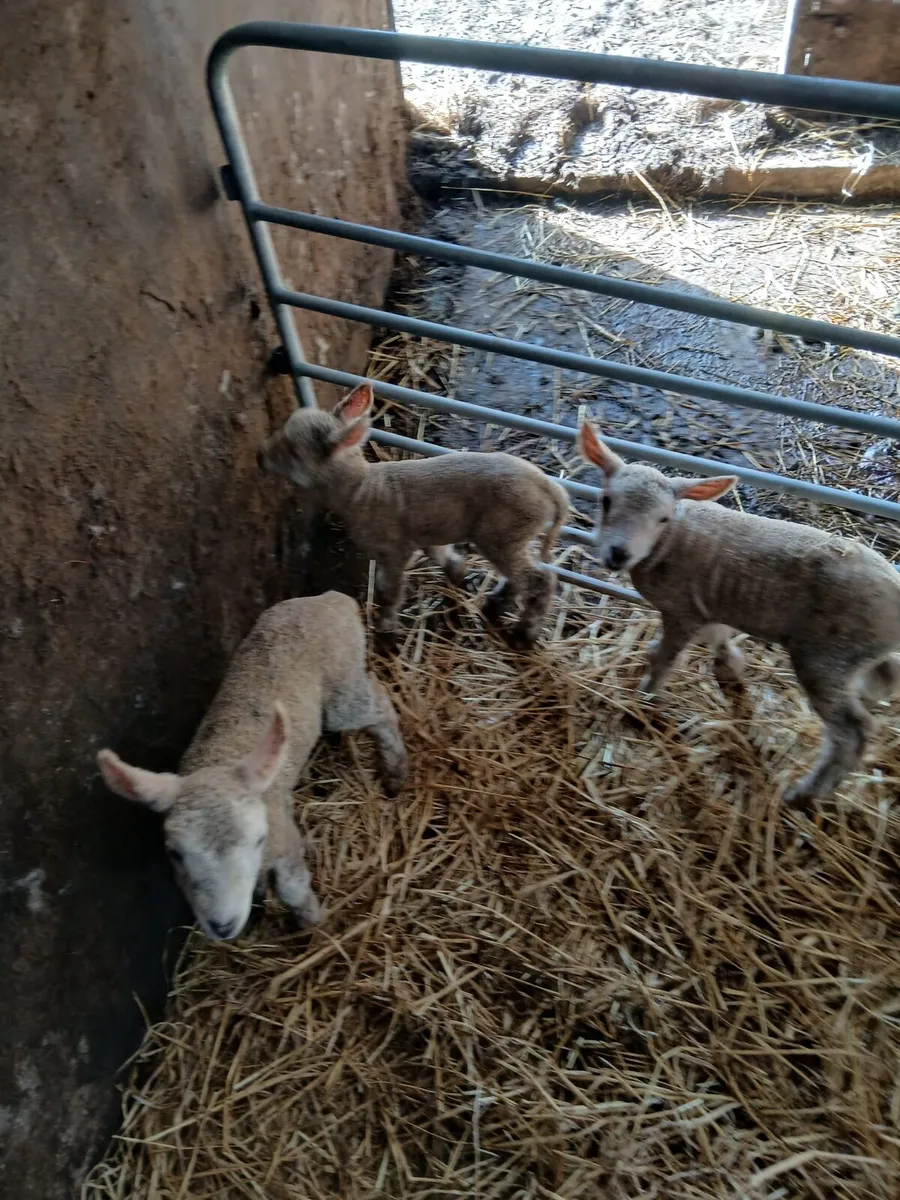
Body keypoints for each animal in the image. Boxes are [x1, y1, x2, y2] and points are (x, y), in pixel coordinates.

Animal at [96, 593, 407, 940]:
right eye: (175, 854)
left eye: (258, 839)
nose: (222, 926)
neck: (217, 759)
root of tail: (333, 599)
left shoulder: (284, 841)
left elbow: (293, 889)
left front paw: (311, 925)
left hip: (343, 687)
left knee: (380, 704)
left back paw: (395, 770)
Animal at [257, 383, 569, 650]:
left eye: (292, 451)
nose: (260, 457)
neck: (362, 490)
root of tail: (550, 487)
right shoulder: (426, 533)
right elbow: (444, 557)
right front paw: (458, 574)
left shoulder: (394, 549)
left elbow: (388, 591)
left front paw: (386, 631)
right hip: (514, 536)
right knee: (523, 575)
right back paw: (497, 605)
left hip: (503, 534)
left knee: (541, 579)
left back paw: (525, 633)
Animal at [577, 418, 900, 806]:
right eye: (606, 500)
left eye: (663, 518)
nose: (617, 555)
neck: (669, 542)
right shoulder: (706, 604)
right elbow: (717, 638)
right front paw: (729, 668)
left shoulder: (681, 609)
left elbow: (665, 659)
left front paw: (646, 696)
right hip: (855, 653)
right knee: (881, 682)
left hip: (827, 656)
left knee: (853, 732)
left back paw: (805, 794)